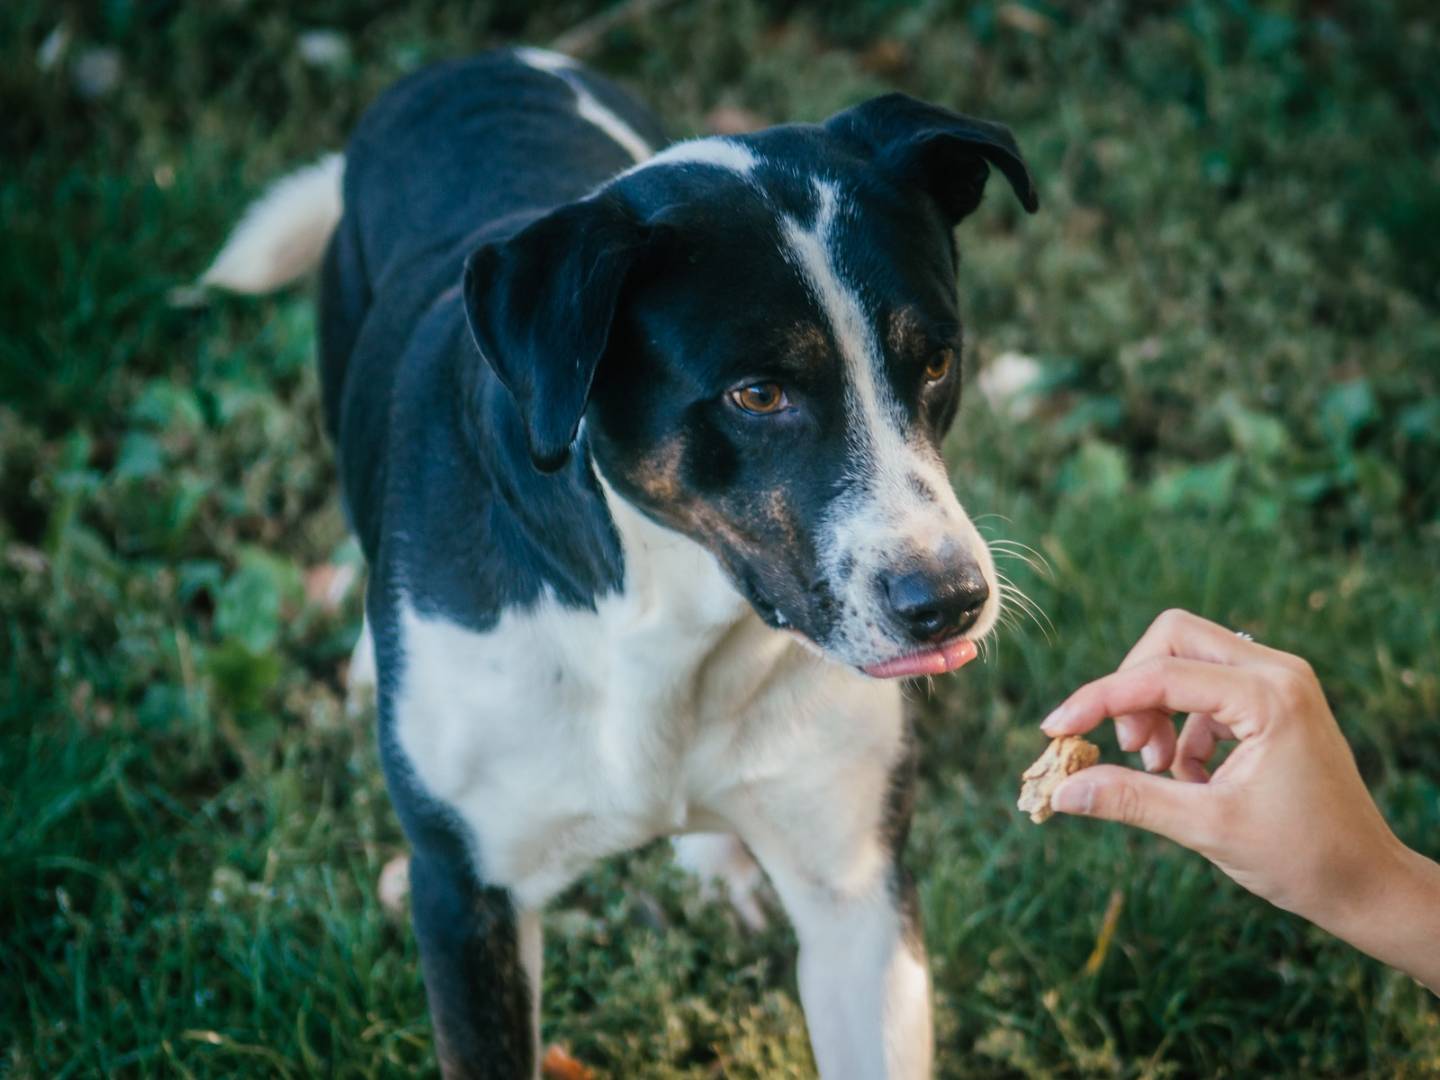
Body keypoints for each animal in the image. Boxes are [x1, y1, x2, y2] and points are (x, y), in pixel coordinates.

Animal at [205, 48, 1036, 1080]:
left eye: (934, 362)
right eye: (757, 394)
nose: (950, 600)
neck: (662, 613)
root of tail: (474, 62)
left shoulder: (858, 893)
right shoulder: (465, 898)